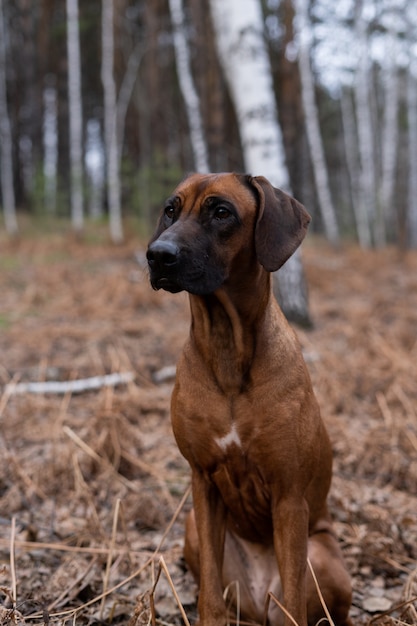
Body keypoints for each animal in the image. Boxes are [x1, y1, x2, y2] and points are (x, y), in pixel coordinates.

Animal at [146, 173, 352, 624]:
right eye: (171, 209)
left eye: (222, 212)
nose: (157, 255)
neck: (226, 346)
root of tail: (258, 602)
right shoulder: (202, 481)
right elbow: (209, 593)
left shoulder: (289, 496)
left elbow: (293, 598)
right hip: (192, 527)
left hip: (322, 556)